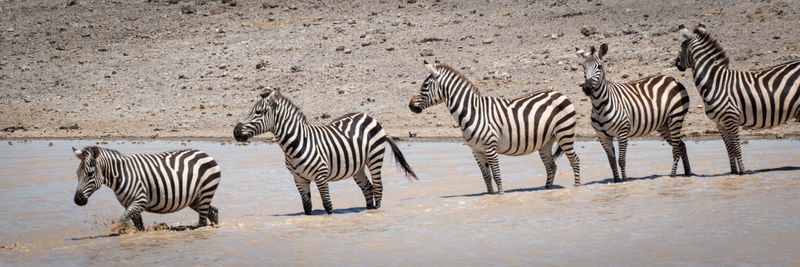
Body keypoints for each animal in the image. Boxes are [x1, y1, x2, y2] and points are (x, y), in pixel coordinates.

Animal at [71, 147, 222, 232]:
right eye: (77, 173)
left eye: (90, 174)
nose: (78, 200)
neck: (122, 174)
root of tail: (205, 154)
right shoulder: (130, 204)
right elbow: (138, 226)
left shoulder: (140, 200)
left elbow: (122, 218)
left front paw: (119, 229)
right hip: (195, 199)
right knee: (213, 211)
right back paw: (216, 226)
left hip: (205, 192)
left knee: (203, 222)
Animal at [231, 88, 418, 216]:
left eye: (258, 112)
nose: (235, 132)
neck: (296, 143)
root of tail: (369, 116)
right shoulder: (299, 179)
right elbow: (307, 208)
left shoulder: (321, 176)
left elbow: (327, 205)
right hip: (357, 167)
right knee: (368, 188)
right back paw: (367, 210)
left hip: (374, 158)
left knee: (378, 188)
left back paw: (375, 211)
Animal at [410, 61, 580, 194]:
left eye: (424, 86)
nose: (410, 105)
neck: (472, 111)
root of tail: (560, 93)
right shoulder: (476, 150)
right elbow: (486, 177)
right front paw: (490, 196)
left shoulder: (490, 147)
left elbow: (497, 175)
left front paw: (501, 196)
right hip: (546, 141)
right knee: (551, 166)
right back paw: (547, 189)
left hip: (564, 134)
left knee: (575, 161)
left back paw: (577, 187)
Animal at [576, 44, 692, 182]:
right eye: (583, 67)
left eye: (599, 66)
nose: (587, 88)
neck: (599, 106)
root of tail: (672, 79)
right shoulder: (603, 137)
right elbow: (611, 161)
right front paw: (616, 181)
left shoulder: (622, 132)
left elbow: (621, 160)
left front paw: (624, 181)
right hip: (664, 125)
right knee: (681, 145)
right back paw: (688, 173)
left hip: (676, 118)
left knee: (676, 149)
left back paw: (673, 175)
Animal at [676, 22, 800, 174]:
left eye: (681, 47)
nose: (676, 63)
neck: (715, 82)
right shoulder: (720, 123)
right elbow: (729, 150)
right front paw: (733, 173)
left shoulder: (731, 119)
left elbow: (736, 148)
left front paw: (743, 173)